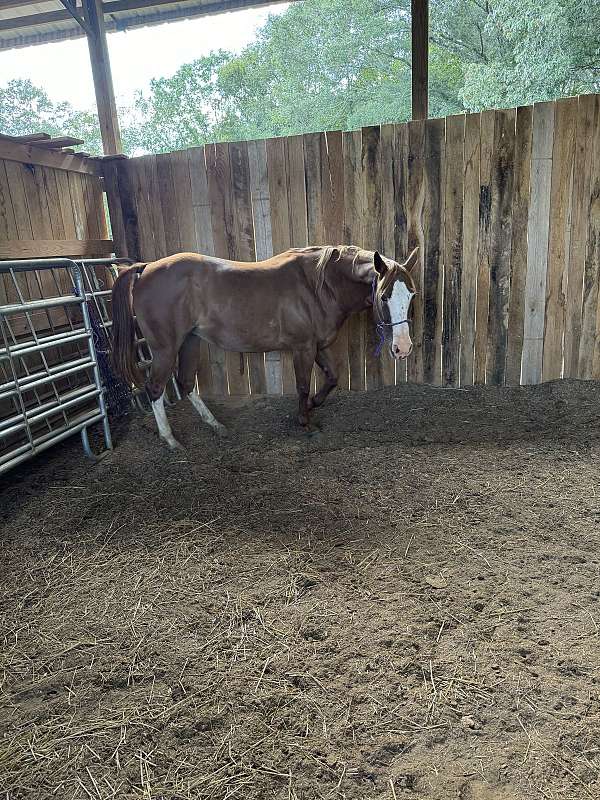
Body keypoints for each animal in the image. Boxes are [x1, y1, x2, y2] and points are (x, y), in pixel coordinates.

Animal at [110, 245, 418, 444]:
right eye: (384, 296)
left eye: (411, 294)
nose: (403, 348)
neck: (318, 286)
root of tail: (145, 268)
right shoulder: (303, 348)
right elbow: (303, 385)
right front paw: (305, 422)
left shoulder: (319, 346)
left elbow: (332, 377)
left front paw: (314, 404)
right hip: (165, 348)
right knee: (155, 388)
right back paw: (170, 439)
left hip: (190, 341)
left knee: (185, 382)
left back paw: (215, 425)